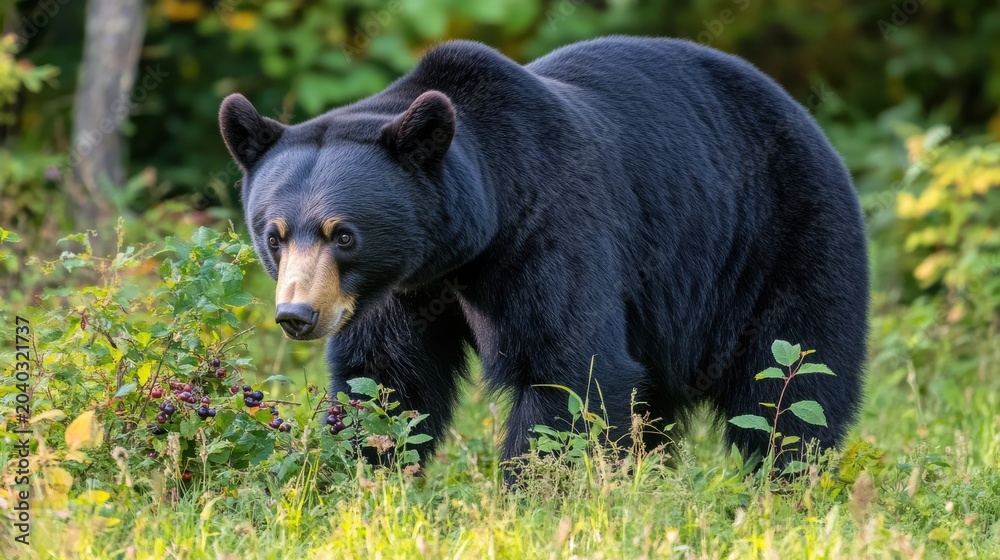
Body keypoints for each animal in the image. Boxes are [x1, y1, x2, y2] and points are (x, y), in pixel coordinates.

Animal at [218, 36, 869, 472]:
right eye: (274, 235)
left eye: (343, 234)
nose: (297, 315)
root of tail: (802, 114)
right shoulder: (395, 287)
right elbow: (385, 380)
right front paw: (361, 471)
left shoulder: (549, 232)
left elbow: (569, 373)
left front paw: (530, 494)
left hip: (778, 240)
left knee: (792, 384)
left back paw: (783, 481)